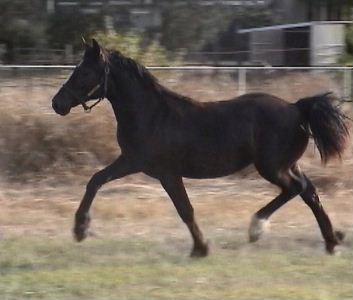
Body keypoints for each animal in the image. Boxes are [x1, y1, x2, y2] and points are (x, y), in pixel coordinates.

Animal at [51, 39, 350, 255]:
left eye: (84, 71)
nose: (57, 103)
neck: (152, 114)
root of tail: (296, 107)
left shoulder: (166, 172)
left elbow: (185, 209)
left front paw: (201, 248)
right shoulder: (131, 161)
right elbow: (95, 180)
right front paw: (80, 230)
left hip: (271, 167)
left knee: (296, 189)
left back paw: (257, 228)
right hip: (288, 164)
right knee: (309, 192)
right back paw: (332, 241)